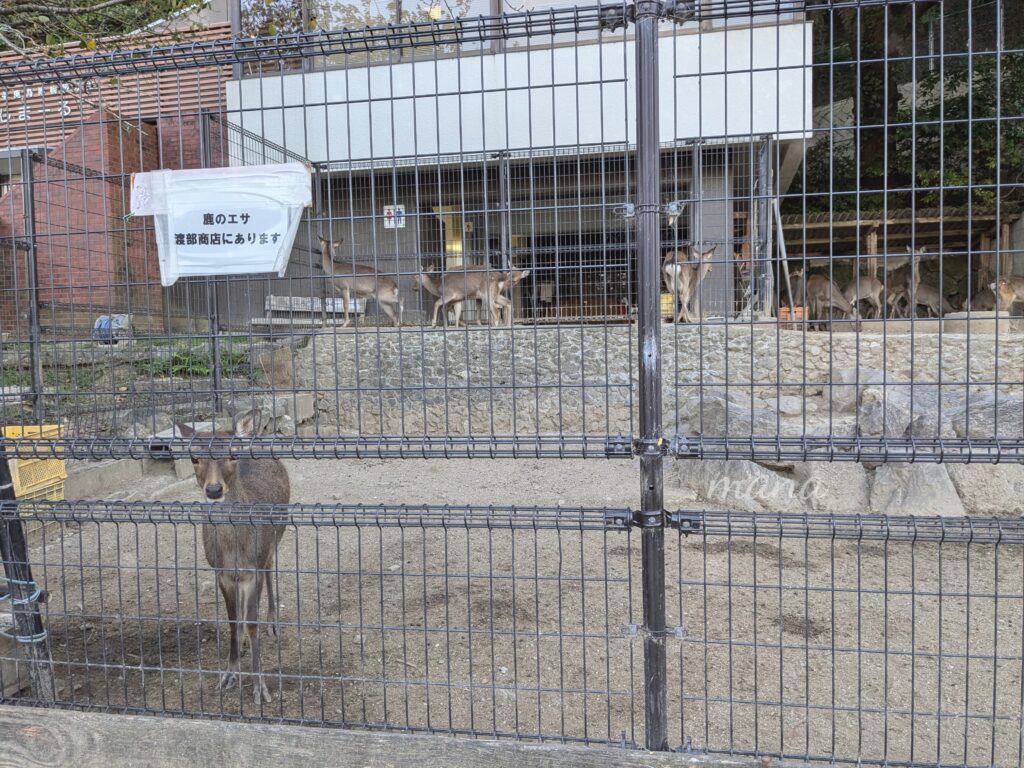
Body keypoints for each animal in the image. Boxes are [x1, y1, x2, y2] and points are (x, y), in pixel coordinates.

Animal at [175, 411, 288, 708]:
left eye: (232, 454)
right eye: (194, 457)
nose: (214, 490)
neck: (234, 549)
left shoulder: (253, 567)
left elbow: (251, 623)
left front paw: (260, 687)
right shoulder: (222, 573)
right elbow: (233, 622)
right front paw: (229, 674)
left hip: (276, 536)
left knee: (271, 569)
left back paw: (272, 622)